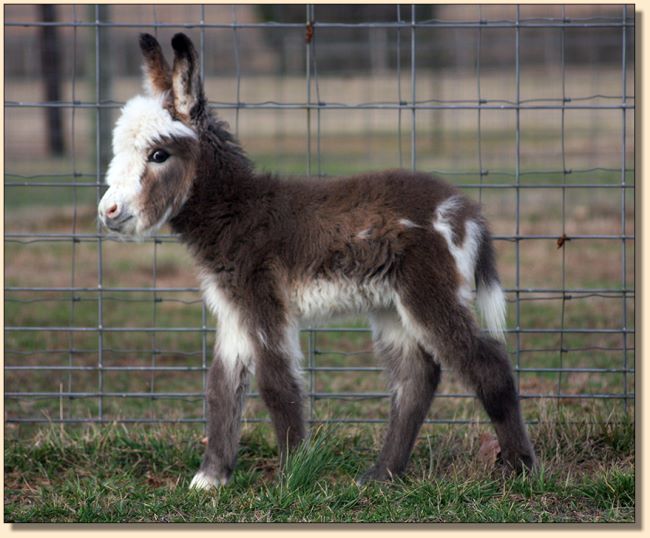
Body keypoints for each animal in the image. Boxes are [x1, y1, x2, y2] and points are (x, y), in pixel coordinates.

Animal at [96, 31, 532, 488]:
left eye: (158, 155)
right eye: (118, 151)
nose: (106, 212)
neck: (237, 210)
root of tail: (466, 210)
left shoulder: (263, 302)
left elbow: (277, 384)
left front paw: (292, 476)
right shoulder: (234, 310)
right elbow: (221, 388)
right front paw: (210, 479)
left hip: (429, 293)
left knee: (487, 365)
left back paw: (520, 467)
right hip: (391, 305)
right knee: (416, 378)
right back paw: (382, 474)